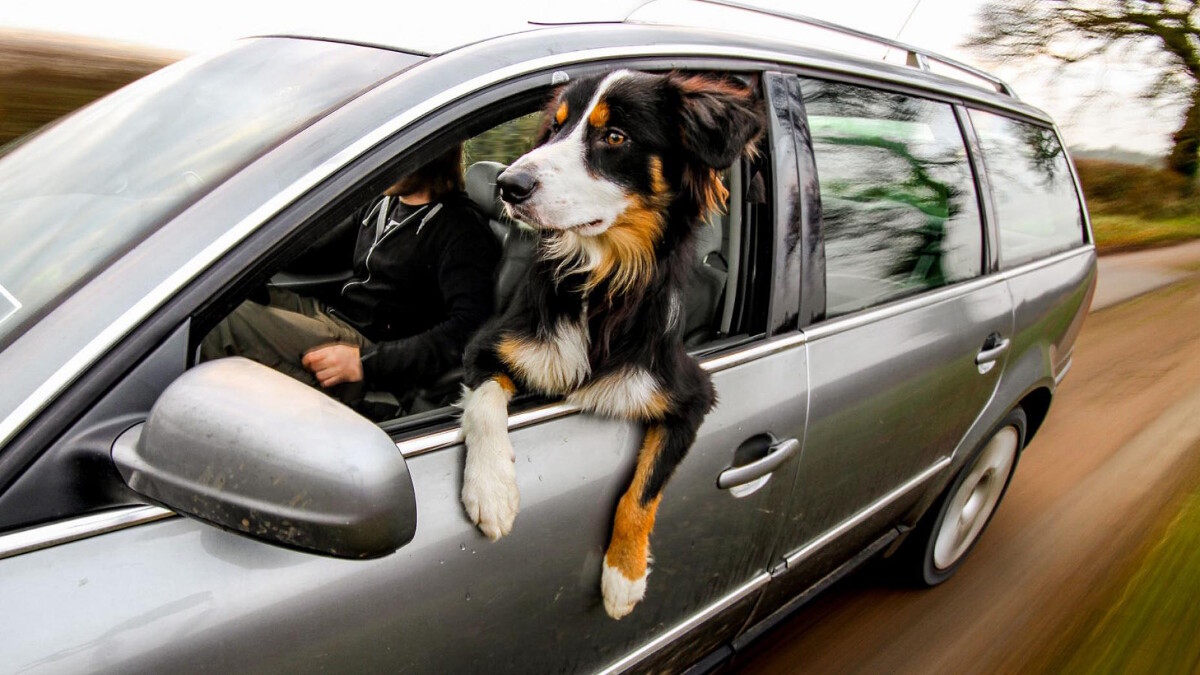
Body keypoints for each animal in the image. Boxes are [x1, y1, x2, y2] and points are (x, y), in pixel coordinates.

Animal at [453, 70, 763, 619]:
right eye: (556, 128)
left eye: (614, 137)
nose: (508, 185)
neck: (601, 282)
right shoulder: (487, 347)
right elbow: (484, 404)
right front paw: (491, 491)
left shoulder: (692, 395)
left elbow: (642, 491)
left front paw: (624, 576)